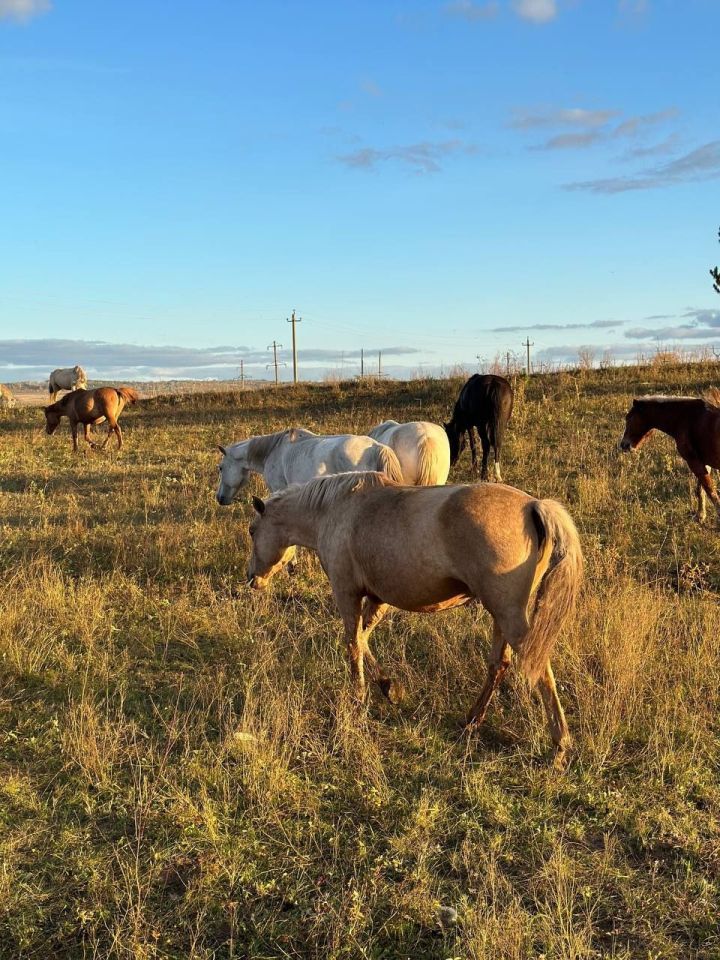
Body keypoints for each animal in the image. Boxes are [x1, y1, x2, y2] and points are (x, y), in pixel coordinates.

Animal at [248, 472, 584, 764]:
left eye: (252, 531)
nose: (252, 578)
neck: (337, 509)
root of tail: (533, 505)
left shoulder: (347, 594)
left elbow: (352, 644)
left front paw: (358, 699)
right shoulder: (379, 599)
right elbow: (363, 638)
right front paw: (388, 687)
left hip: (508, 615)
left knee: (539, 669)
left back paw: (559, 745)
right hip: (501, 614)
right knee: (498, 665)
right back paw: (471, 721)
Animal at [616, 392, 720, 520]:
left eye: (629, 418)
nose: (624, 445)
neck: (688, 418)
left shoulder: (694, 462)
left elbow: (710, 492)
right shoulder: (703, 462)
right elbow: (702, 490)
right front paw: (701, 515)